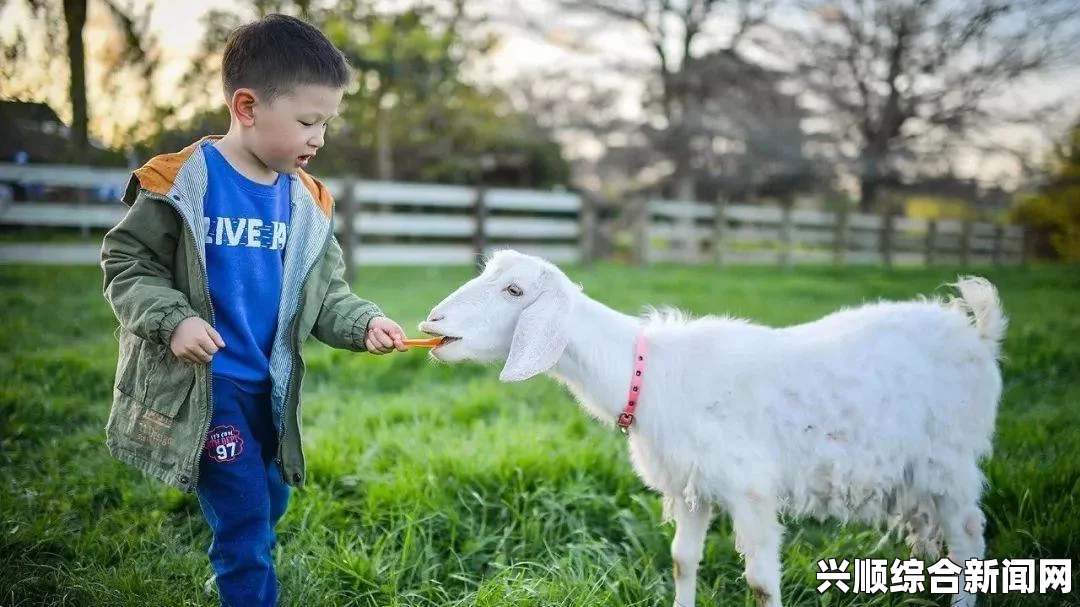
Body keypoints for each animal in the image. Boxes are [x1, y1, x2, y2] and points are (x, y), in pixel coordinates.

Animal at [419, 248, 1002, 600]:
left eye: (514, 292)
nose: (432, 321)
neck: (647, 372)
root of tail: (975, 332)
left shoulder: (750, 490)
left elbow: (761, 582)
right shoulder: (691, 486)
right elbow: (683, 559)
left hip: (950, 462)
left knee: (969, 541)